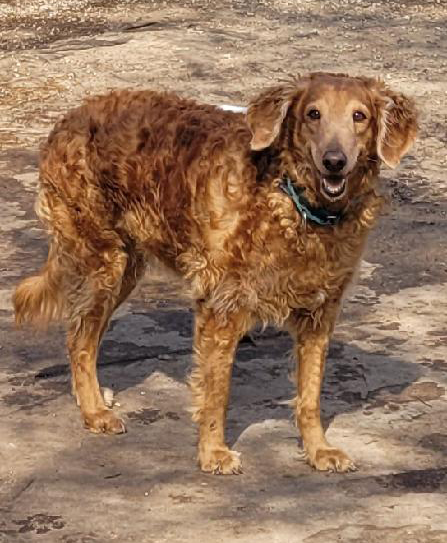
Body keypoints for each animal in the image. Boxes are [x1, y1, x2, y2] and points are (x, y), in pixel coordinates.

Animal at [14, 73, 420, 476]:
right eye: (313, 114)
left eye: (359, 116)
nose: (334, 161)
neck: (294, 205)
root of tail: (69, 118)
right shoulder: (221, 308)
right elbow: (216, 393)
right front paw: (213, 452)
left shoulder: (320, 314)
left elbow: (310, 395)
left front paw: (318, 450)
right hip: (105, 262)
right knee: (79, 337)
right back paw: (94, 410)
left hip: (125, 266)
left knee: (87, 333)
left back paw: (97, 398)